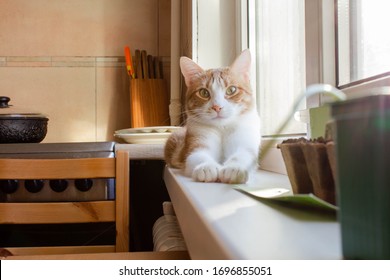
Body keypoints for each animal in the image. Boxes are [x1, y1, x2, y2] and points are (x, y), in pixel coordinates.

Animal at [163, 49, 260, 185]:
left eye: (231, 90)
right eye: (204, 92)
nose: (217, 107)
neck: (222, 128)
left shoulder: (245, 142)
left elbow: (243, 155)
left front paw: (234, 168)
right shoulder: (196, 143)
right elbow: (198, 155)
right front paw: (207, 167)